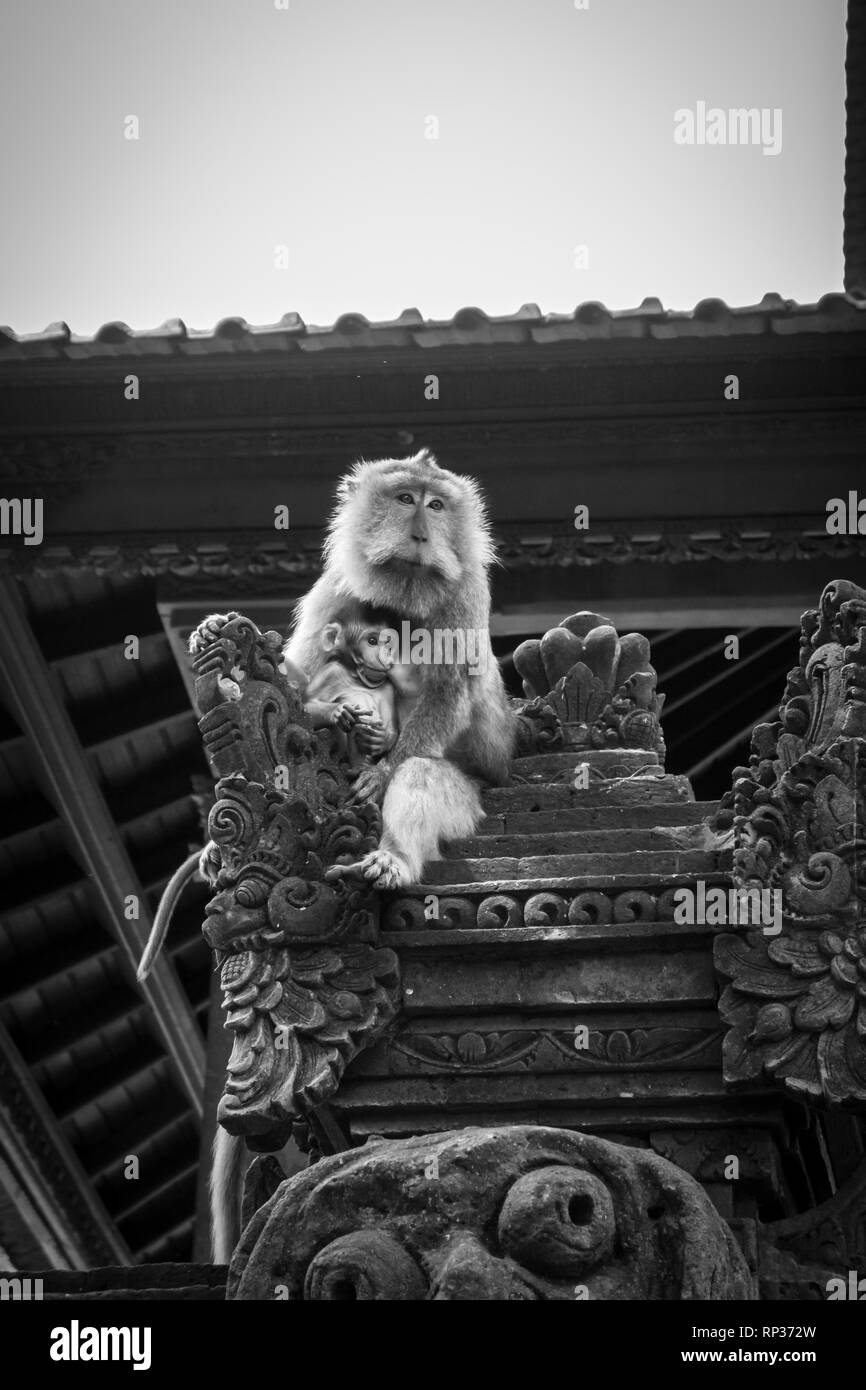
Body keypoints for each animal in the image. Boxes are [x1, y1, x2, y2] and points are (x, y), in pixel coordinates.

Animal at [304, 603, 400, 767]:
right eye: (372, 641)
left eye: (388, 645)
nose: (387, 659)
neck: (356, 678)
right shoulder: (331, 672)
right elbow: (305, 708)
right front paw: (339, 711)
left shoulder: (388, 687)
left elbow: (391, 727)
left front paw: (380, 741)